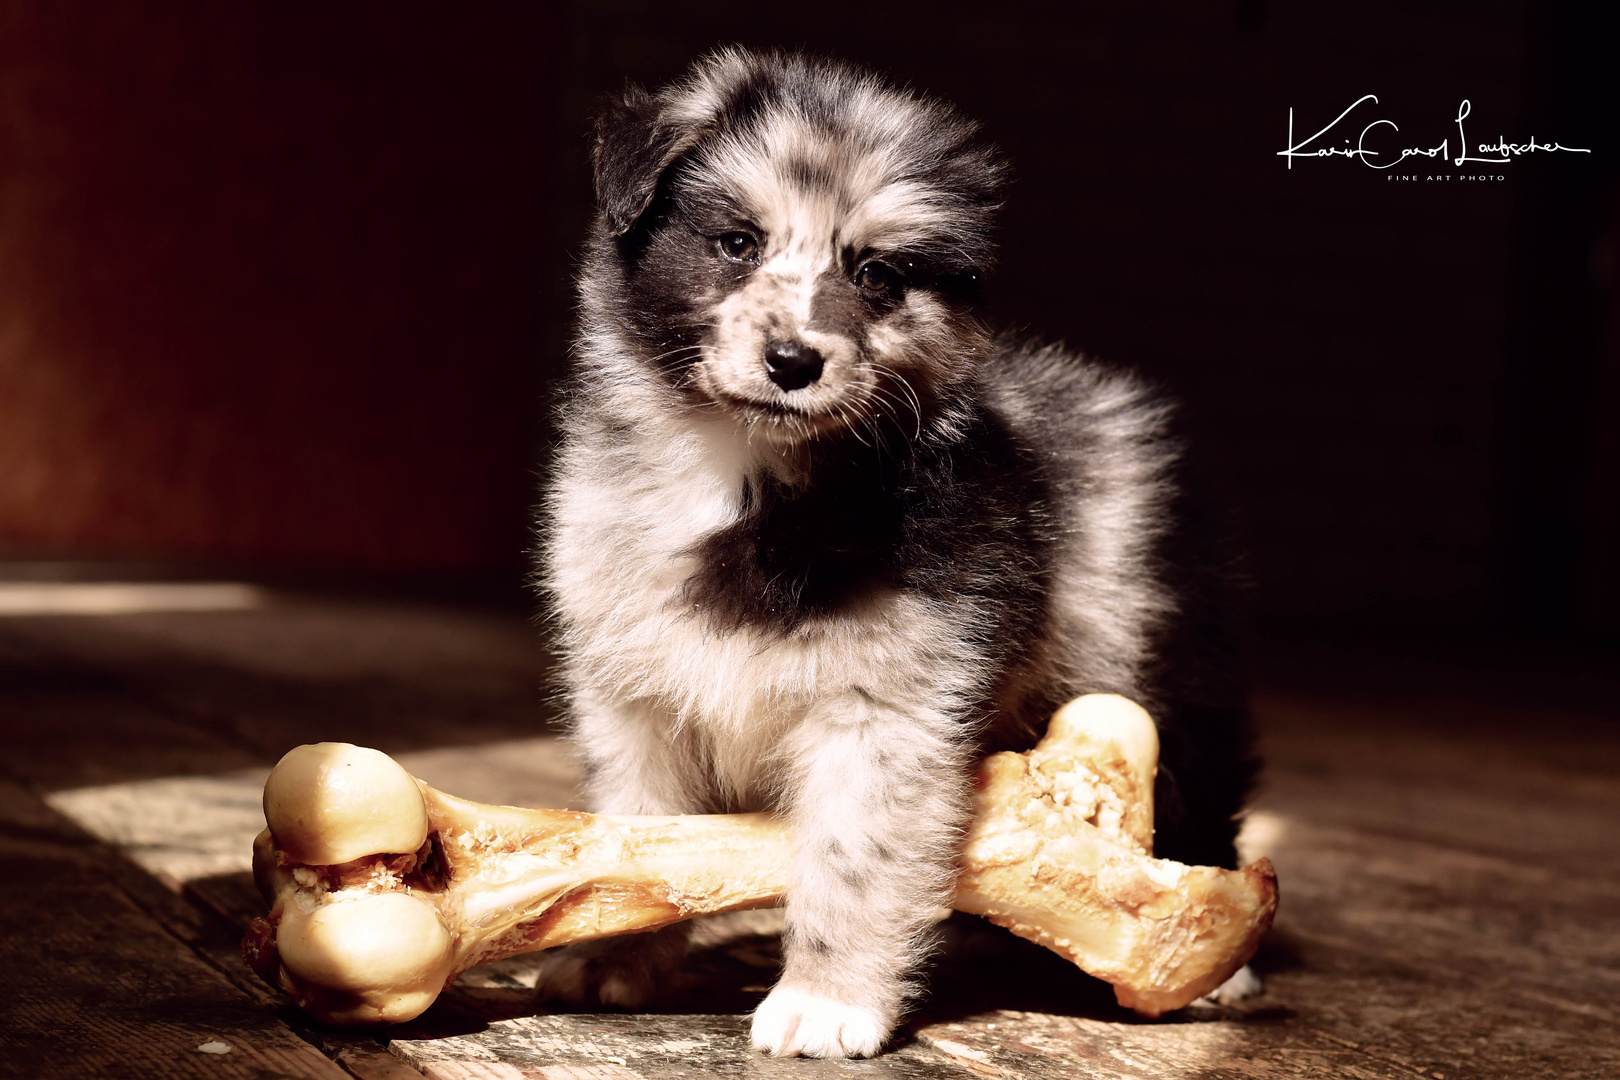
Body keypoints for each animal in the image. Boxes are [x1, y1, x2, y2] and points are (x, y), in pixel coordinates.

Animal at [537, 48, 1257, 1055]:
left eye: (878, 274)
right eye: (736, 243)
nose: (795, 362)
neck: (749, 483)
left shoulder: (886, 708)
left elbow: (853, 858)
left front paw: (826, 1000)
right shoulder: (634, 692)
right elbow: (641, 838)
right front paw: (614, 956)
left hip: (1158, 666)